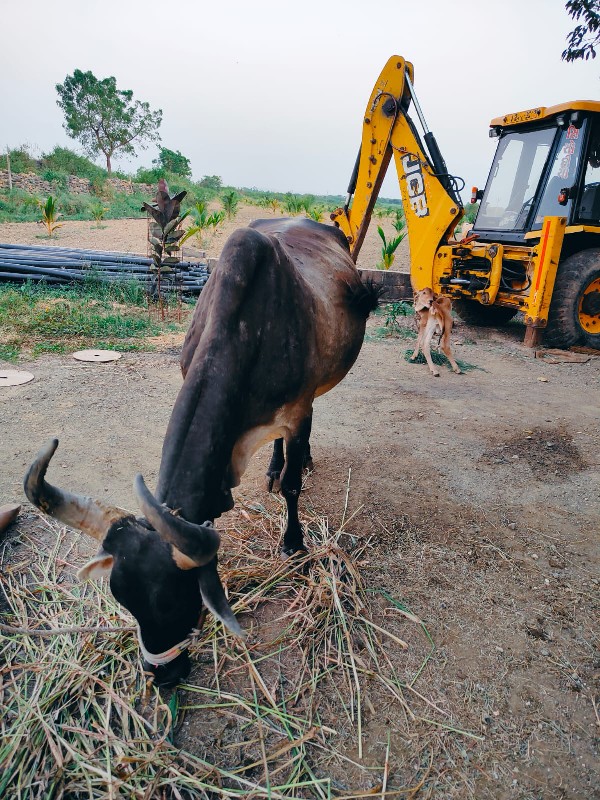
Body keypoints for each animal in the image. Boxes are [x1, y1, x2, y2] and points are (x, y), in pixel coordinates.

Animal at [27, 216, 380, 684]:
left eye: (174, 600)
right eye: (124, 601)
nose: (162, 675)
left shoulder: (297, 408)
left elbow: (292, 488)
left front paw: (292, 542)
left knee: (300, 440)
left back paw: (299, 459)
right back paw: (273, 466)